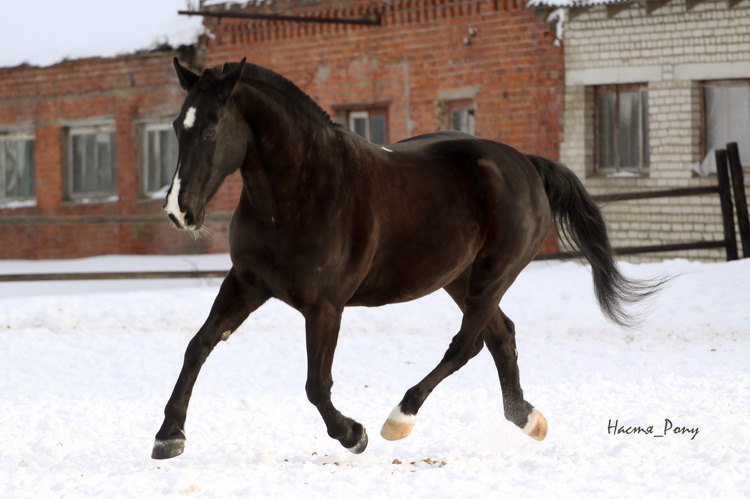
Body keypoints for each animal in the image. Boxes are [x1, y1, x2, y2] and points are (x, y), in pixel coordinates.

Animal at [153, 58, 656, 460]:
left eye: (213, 127)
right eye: (177, 128)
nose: (180, 212)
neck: (299, 194)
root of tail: (527, 164)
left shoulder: (324, 305)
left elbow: (317, 384)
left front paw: (353, 434)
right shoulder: (246, 283)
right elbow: (198, 346)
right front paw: (168, 436)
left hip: (495, 274)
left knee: (467, 344)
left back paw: (400, 417)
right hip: (460, 278)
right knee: (500, 336)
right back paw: (528, 419)